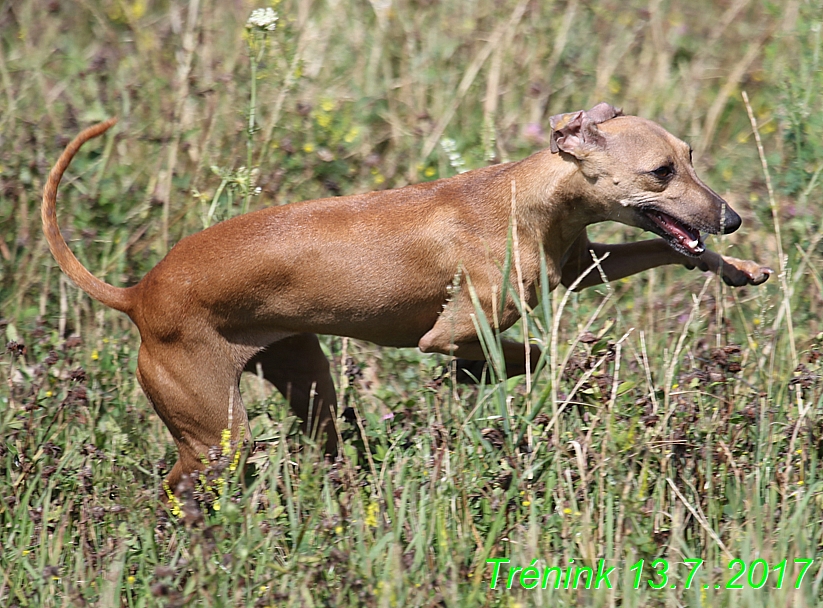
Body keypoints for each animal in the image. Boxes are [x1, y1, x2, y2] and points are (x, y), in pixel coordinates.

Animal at [43, 102, 768, 486]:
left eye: (690, 156)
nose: (731, 218)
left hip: (305, 381)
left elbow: (665, 251)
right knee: (175, 487)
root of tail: (139, 294)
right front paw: (483, 375)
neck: (525, 197)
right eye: (661, 172)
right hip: (215, 434)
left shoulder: (581, 265)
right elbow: (518, 353)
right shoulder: (448, 330)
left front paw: (739, 267)